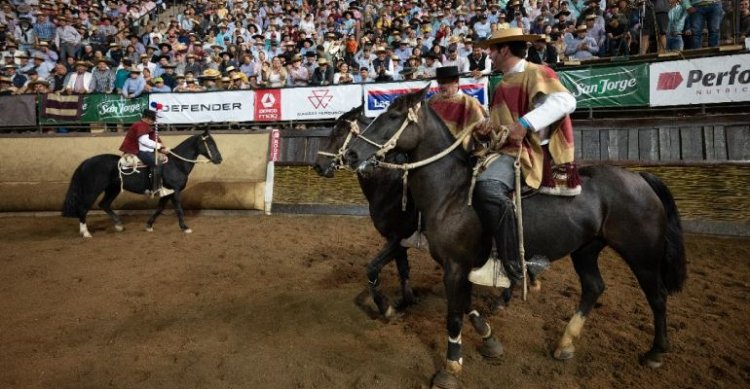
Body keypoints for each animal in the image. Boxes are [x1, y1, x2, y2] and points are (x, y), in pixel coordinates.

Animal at [62, 130, 222, 236]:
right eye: (209, 143)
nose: (219, 159)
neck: (177, 164)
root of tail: (87, 161)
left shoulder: (166, 193)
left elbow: (159, 209)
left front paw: (149, 225)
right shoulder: (175, 191)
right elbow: (178, 210)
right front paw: (185, 227)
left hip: (112, 189)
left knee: (104, 204)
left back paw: (119, 226)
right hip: (93, 190)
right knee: (83, 208)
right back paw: (85, 233)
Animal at [346, 86, 688, 386]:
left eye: (392, 116)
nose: (351, 153)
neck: (451, 193)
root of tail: (639, 177)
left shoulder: (455, 266)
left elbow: (454, 315)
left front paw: (451, 366)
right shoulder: (458, 266)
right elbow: (467, 306)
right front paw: (489, 340)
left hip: (642, 255)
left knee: (657, 297)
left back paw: (655, 353)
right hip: (586, 249)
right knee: (594, 287)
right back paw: (564, 344)